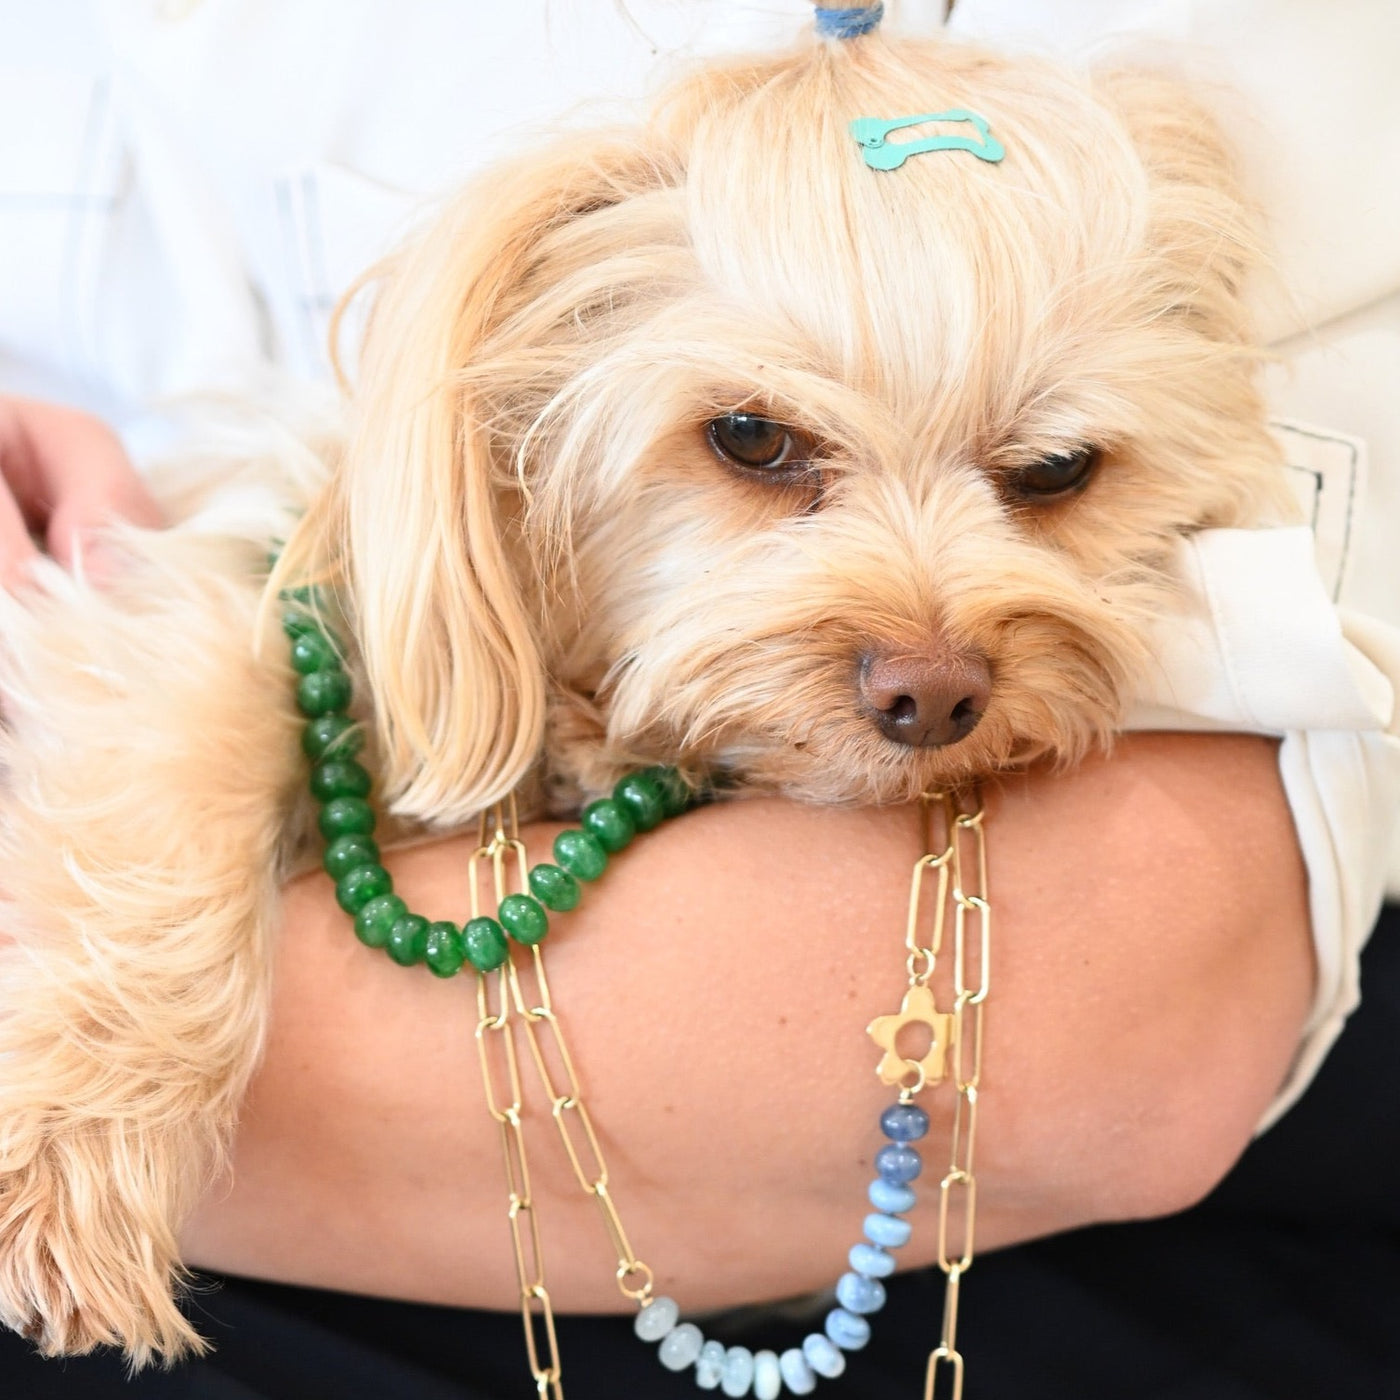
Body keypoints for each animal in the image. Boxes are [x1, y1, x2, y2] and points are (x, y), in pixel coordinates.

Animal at [0, 30, 1288, 1366]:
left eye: (1056, 469)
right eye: (750, 436)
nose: (934, 695)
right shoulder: (235, 593)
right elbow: (180, 753)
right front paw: (73, 1155)